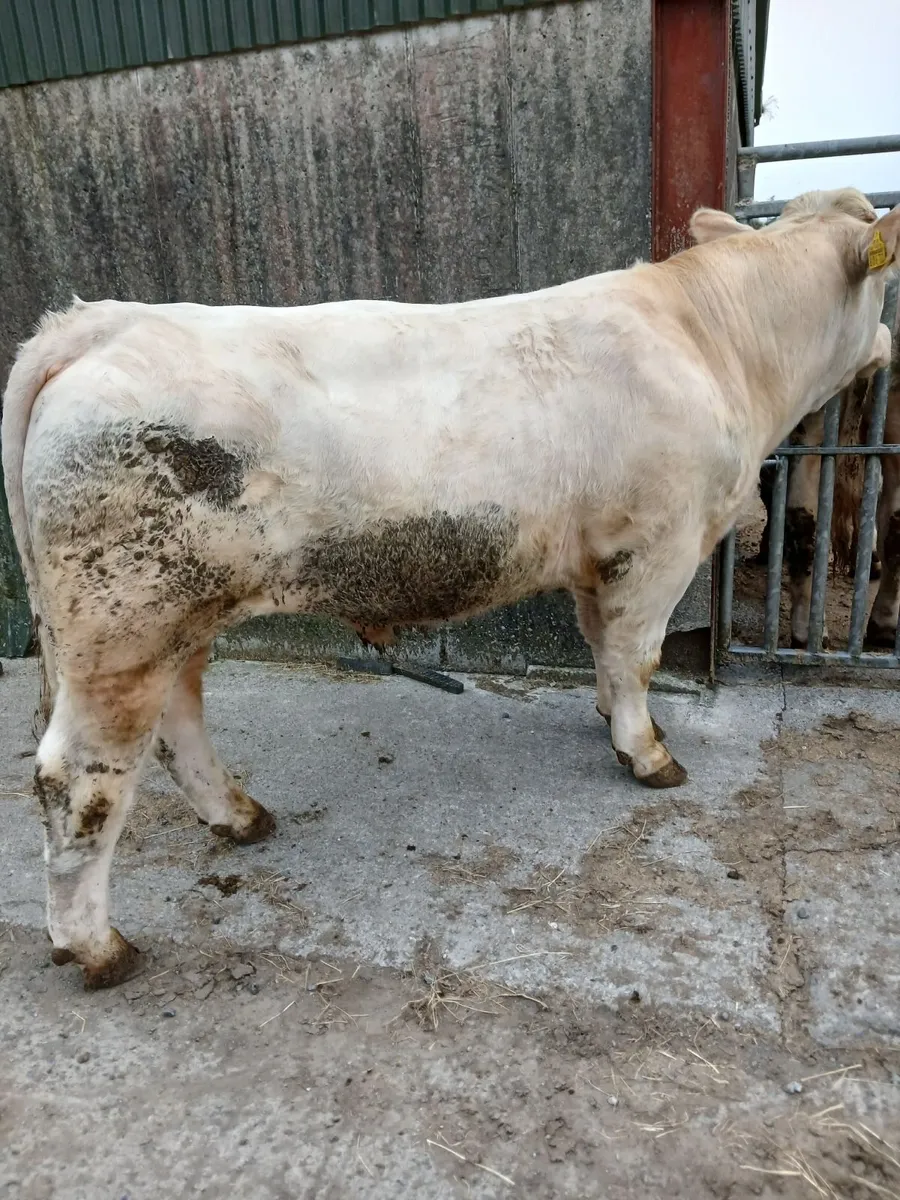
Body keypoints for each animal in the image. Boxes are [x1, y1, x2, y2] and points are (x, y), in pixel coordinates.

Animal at [2, 187, 897, 990]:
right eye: (882, 280)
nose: (889, 340)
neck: (710, 341)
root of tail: (104, 320)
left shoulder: (597, 552)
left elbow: (603, 643)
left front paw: (610, 715)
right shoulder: (662, 542)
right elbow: (638, 652)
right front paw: (647, 754)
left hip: (174, 614)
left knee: (176, 721)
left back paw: (239, 816)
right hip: (126, 619)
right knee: (79, 776)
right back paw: (96, 947)